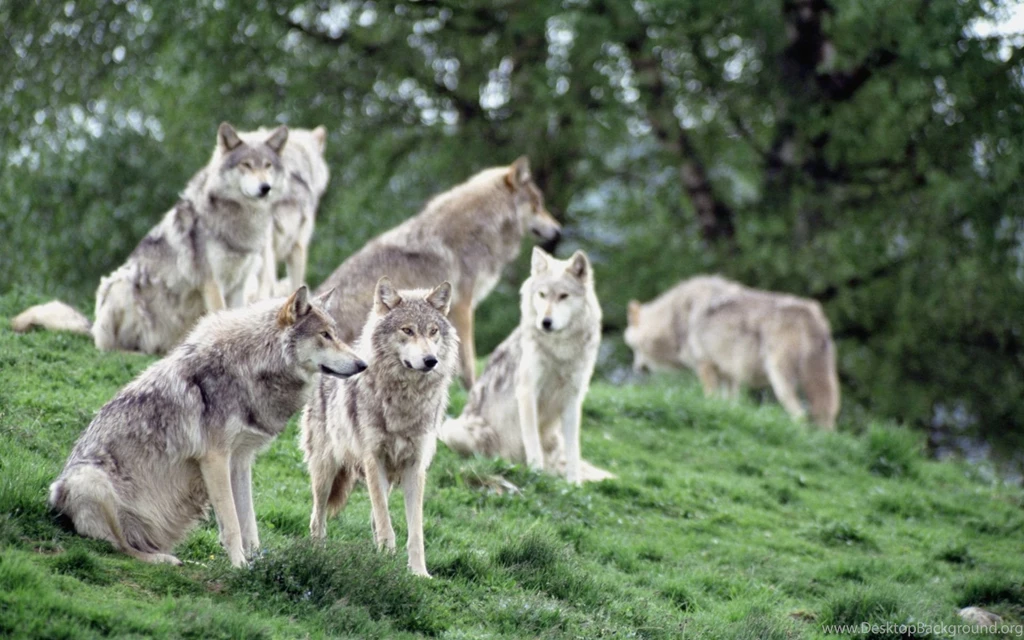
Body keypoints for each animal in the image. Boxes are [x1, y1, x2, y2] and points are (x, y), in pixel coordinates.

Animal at [12, 122, 288, 354]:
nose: (265, 188)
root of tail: (93, 326)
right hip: (121, 285)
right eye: (246, 165)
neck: (239, 222)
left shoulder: (240, 284)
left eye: (267, 165)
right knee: (108, 348)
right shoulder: (211, 282)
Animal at [48, 286, 366, 567]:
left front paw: (258, 564)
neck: (250, 367)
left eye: (336, 334)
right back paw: (166, 561)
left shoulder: (240, 461)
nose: (363, 364)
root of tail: (55, 500)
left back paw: (188, 561)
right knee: (122, 547)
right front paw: (240, 567)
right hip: (91, 481)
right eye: (325, 335)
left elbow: (249, 523)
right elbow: (232, 524)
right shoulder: (215, 459)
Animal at [301, 277, 458, 577]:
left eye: (432, 331)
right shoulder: (373, 459)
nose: (430, 360)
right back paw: (317, 555)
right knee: (318, 517)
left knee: (374, 516)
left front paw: (418, 573)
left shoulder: (415, 467)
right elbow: (386, 522)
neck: (405, 401)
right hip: (325, 472)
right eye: (407, 330)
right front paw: (387, 558)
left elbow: (415, 531)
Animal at [440, 248, 614, 485]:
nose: (546, 322)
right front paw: (535, 472)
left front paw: (574, 483)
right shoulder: (528, 391)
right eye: (542, 295)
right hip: (456, 430)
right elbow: (532, 440)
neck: (560, 350)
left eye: (563, 296)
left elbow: (574, 451)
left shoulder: (573, 399)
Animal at [688, 288, 841, 429]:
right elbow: (729, 404)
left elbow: (711, 398)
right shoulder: (730, 376)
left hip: (780, 380)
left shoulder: (705, 365)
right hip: (821, 383)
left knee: (800, 415)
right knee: (825, 414)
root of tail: (809, 315)